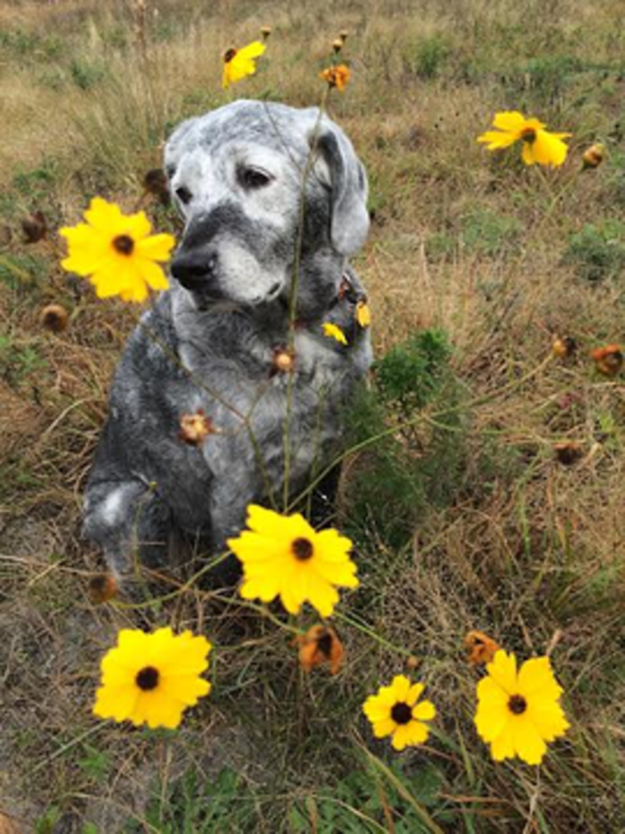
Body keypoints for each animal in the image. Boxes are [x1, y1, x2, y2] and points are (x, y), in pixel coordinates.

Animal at [85, 99, 372, 580]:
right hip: (129, 506)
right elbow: (229, 572)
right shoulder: (234, 485)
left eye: (254, 176)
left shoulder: (334, 445)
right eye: (183, 192)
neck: (297, 329)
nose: (188, 268)